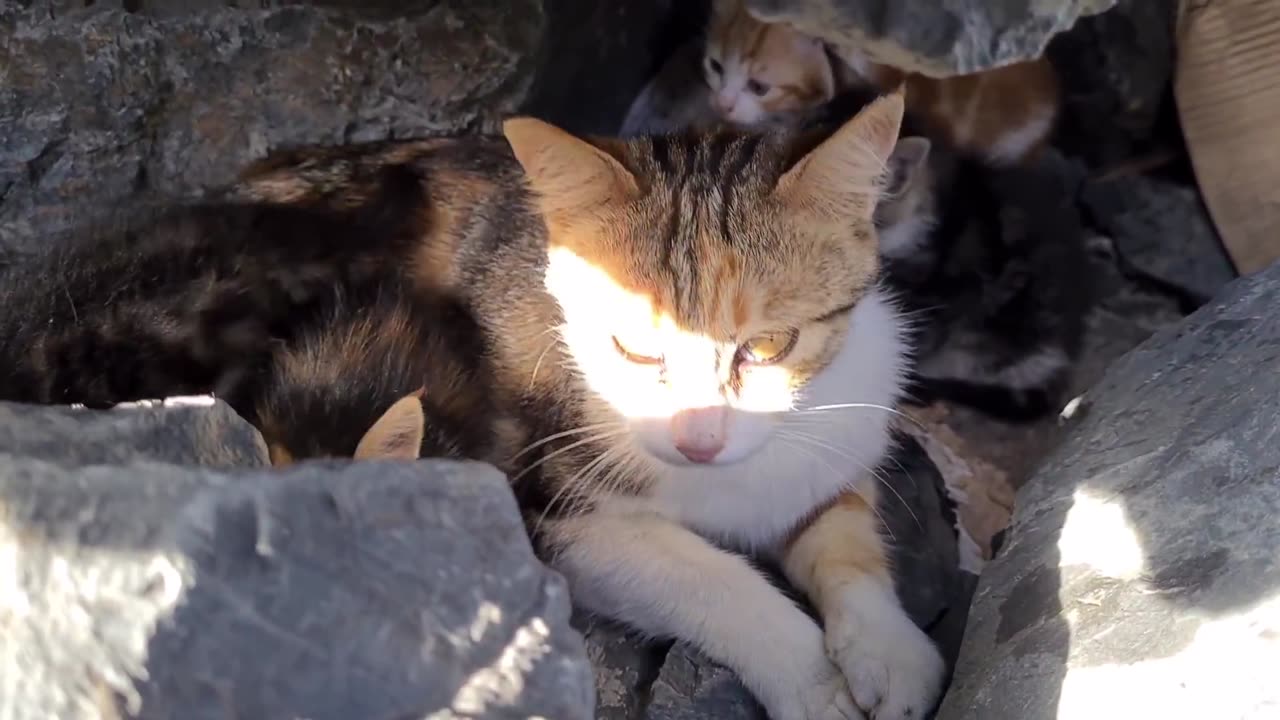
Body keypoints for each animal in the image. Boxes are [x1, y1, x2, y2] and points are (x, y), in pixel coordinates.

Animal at [0, 92, 942, 712]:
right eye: (633, 348)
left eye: (770, 346)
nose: (700, 442)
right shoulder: (545, 509)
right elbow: (706, 577)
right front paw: (811, 678)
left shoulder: (836, 420)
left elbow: (842, 528)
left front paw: (890, 650)